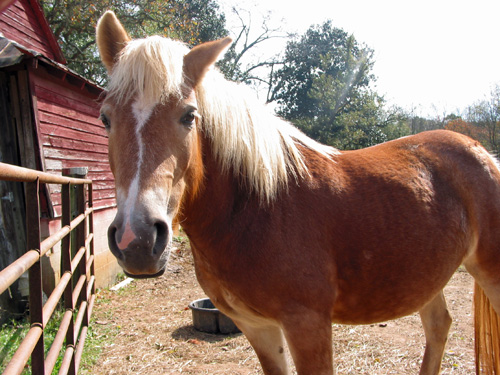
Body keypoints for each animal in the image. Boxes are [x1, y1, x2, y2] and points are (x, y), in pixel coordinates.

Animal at [94, 10, 500, 374]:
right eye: (105, 118)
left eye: (188, 115)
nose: (136, 240)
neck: (255, 210)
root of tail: (478, 149)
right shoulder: (257, 328)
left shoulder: (308, 326)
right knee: (439, 326)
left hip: (489, 272)